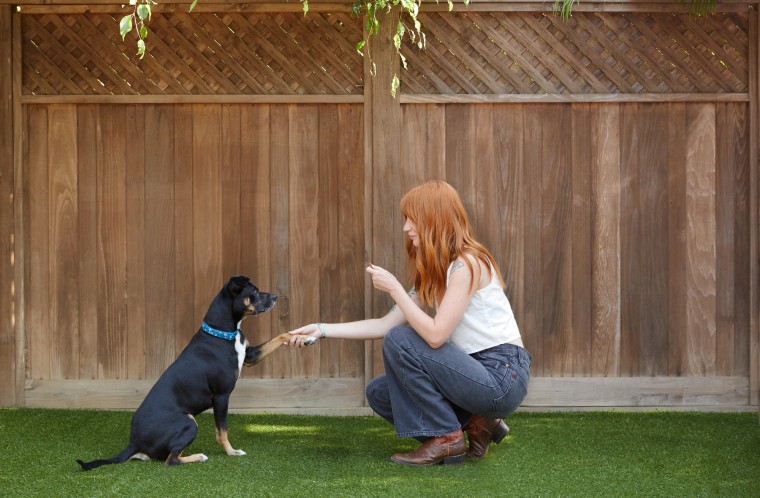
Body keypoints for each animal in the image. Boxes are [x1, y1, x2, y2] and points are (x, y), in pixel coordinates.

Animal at [76, 274, 302, 468]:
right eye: (253, 291)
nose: (275, 297)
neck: (222, 333)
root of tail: (134, 442)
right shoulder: (221, 396)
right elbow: (222, 432)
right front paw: (232, 452)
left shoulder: (250, 356)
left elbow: (280, 337)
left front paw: (299, 336)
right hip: (189, 421)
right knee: (170, 461)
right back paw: (198, 456)